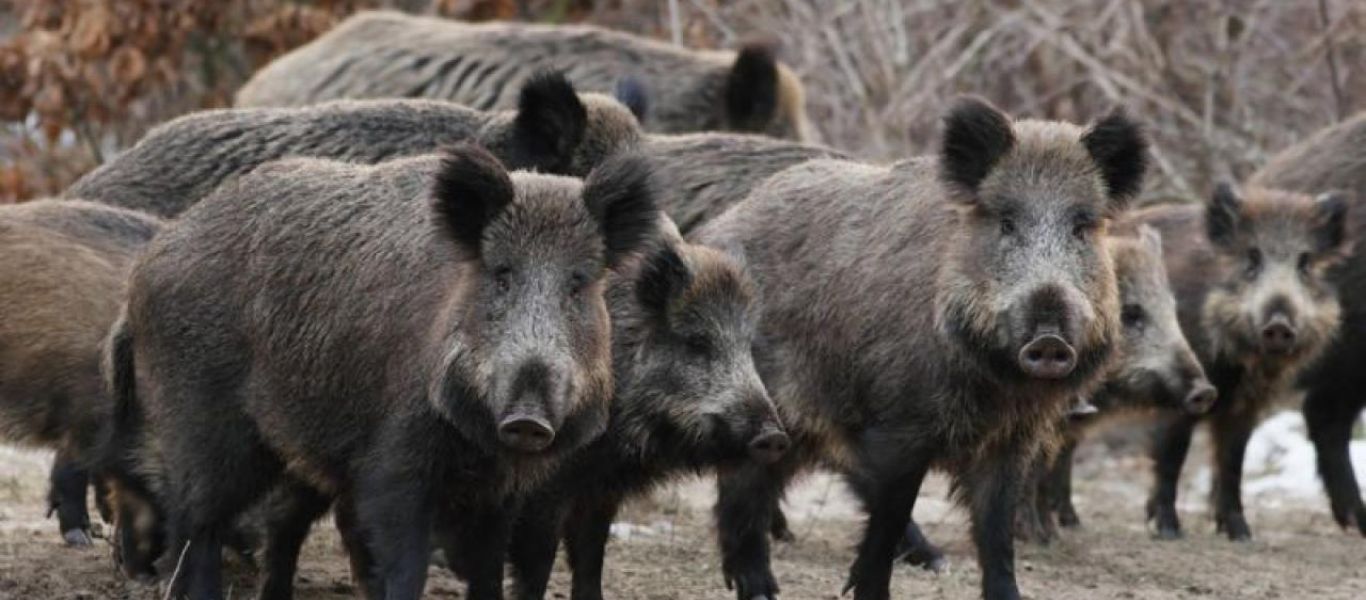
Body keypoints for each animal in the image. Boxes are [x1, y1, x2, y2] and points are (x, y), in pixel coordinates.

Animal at [99, 145, 659, 599]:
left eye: (578, 283)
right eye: (501, 274)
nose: (528, 419)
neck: (477, 444)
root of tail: (140, 277)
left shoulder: (503, 491)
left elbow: (487, 571)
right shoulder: (394, 465)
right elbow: (404, 565)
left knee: (260, 524)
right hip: (203, 423)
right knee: (196, 522)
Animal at [693, 97, 1147, 600]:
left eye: (1082, 226)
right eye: (1006, 222)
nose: (1048, 339)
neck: (995, 385)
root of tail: (712, 232)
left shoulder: (1012, 441)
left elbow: (996, 532)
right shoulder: (898, 427)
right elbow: (888, 517)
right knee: (740, 492)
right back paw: (759, 588)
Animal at [1131, 184, 1349, 541]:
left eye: (1304, 263)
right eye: (1252, 258)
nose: (1278, 325)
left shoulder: (1246, 407)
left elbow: (1233, 463)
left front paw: (1242, 535)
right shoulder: (1180, 398)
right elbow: (1171, 456)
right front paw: (1168, 531)